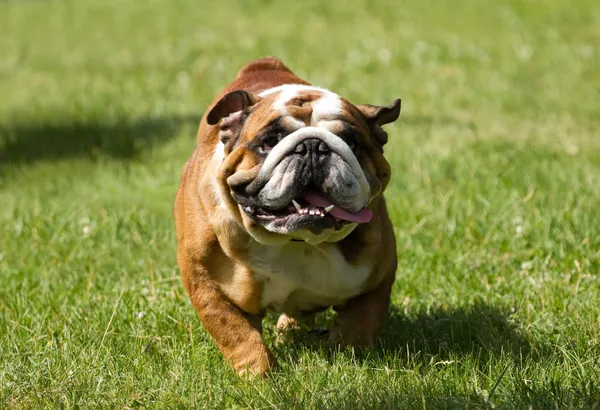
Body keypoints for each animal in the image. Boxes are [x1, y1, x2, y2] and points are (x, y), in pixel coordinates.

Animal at [172, 56, 398, 376]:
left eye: (352, 143)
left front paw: (348, 357)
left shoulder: (377, 279)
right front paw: (260, 375)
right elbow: (235, 332)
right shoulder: (206, 284)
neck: (294, 240)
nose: (313, 146)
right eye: (269, 142)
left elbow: (359, 326)